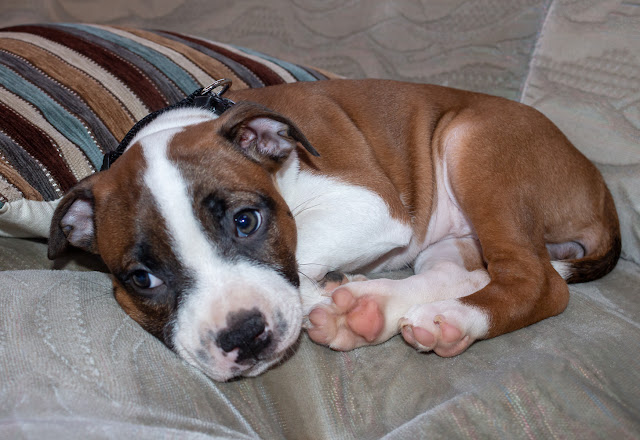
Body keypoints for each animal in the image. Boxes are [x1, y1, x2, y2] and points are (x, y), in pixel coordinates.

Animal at [48, 79, 620, 382]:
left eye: (245, 221)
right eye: (142, 279)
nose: (243, 336)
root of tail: (600, 189)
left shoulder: (370, 204)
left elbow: (303, 244)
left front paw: (316, 294)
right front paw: (336, 298)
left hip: (476, 146)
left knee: (538, 281)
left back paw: (450, 316)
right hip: (451, 240)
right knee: (456, 273)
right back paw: (374, 309)